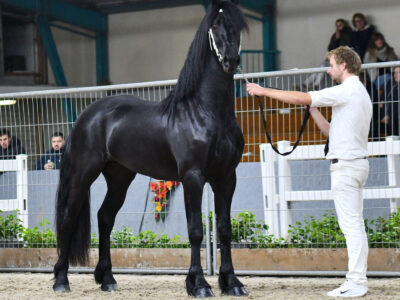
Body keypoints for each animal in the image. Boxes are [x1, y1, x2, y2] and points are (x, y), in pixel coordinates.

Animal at [52, 0, 247, 296]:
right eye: (215, 25)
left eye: (238, 25)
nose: (230, 61)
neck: (207, 113)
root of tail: (87, 114)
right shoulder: (193, 177)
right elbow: (196, 231)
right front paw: (199, 285)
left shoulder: (226, 177)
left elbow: (224, 229)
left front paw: (232, 283)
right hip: (83, 174)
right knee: (69, 219)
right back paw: (61, 281)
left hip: (120, 176)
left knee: (105, 217)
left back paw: (107, 279)